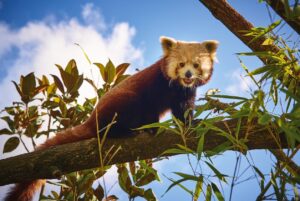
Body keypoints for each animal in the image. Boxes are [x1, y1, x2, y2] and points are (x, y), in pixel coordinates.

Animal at [3, 36, 217, 201]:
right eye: (181, 64)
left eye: (196, 65)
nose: (188, 74)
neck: (176, 86)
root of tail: (92, 118)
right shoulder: (154, 86)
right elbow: (150, 108)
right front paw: (151, 127)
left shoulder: (184, 92)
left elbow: (183, 110)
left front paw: (189, 123)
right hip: (121, 103)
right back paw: (124, 130)